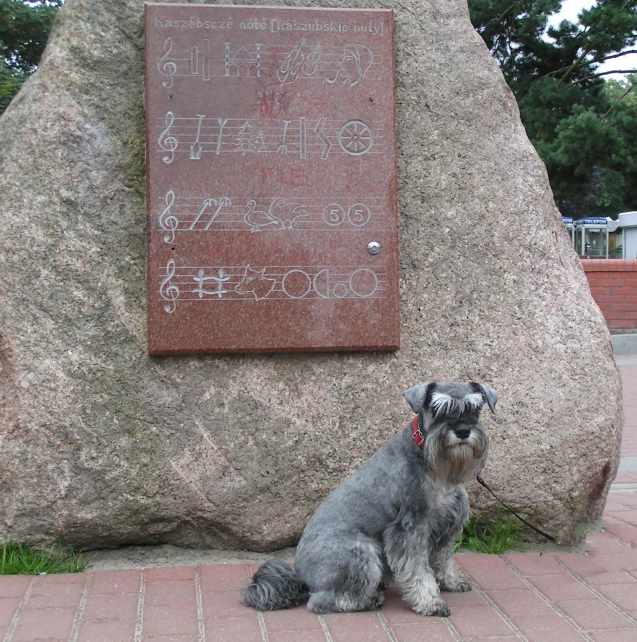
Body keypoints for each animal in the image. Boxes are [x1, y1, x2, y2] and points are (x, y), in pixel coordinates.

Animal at [241, 380, 494, 616]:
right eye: (438, 408)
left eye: (475, 408)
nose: (463, 431)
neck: (433, 465)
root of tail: (300, 575)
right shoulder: (410, 529)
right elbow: (418, 570)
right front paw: (429, 602)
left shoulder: (448, 525)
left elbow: (443, 558)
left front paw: (451, 581)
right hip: (362, 551)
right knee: (322, 601)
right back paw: (367, 600)